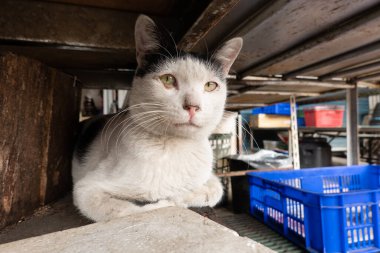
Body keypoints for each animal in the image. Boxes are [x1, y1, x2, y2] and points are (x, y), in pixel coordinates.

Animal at [72, 14, 242, 221]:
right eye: (168, 79)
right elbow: (126, 211)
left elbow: (215, 189)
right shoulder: (86, 189)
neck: (176, 148)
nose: (193, 106)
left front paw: (181, 196)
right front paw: (165, 202)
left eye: (210, 85)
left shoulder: (208, 177)